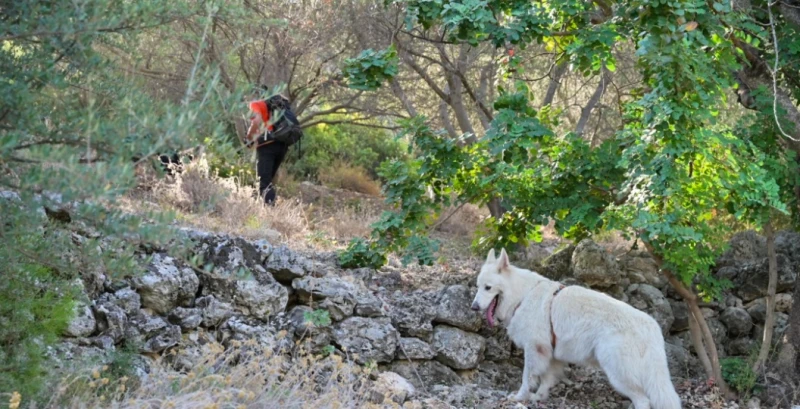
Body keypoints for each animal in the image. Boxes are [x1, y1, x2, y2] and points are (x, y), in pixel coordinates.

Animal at [472, 249, 680, 408]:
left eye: (488, 288)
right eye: (478, 287)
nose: (473, 307)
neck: (523, 295)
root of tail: (652, 328)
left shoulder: (535, 349)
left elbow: (527, 378)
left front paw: (520, 397)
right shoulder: (551, 353)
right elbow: (546, 379)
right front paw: (539, 397)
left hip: (617, 374)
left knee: (643, 400)